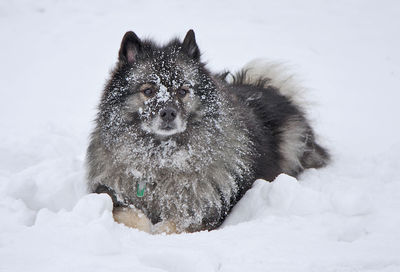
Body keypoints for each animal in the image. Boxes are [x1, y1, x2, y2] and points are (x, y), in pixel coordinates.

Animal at [86, 29, 330, 234]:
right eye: (148, 91)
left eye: (183, 91)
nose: (168, 113)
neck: (163, 160)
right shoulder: (110, 194)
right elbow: (132, 215)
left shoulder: (201, 212)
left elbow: (172, 225)